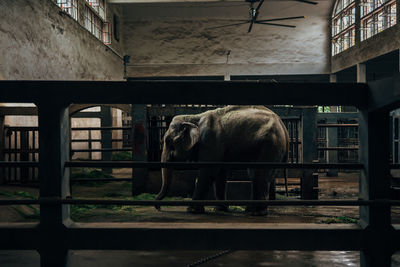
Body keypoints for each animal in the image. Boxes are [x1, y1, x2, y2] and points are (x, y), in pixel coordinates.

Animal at [155, 105, 290, 217]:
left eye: (169, 142)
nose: (159, 208)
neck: (193, 117)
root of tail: (284, 127)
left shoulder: (210, 141)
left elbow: (208, 171)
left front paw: (191, 211)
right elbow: (220, 172)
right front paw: (220, 210)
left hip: (269, 146)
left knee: (259, 173)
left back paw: (257, 213)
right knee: (258, 175)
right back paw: (250, 210)